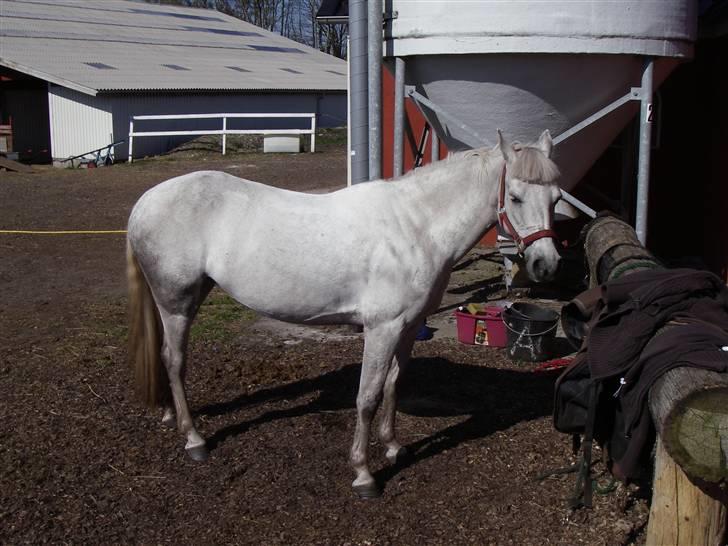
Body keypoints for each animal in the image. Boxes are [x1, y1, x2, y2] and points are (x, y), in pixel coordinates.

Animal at [125, 130, 560, 496]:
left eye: (556, 199)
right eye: (516, 197)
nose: (546, 265)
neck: (416, 228)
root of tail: (145, 203)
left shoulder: (408, 327)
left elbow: (393, 385)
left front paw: (393, 446)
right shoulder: (381, 328)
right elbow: (367, 396)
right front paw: (364, 474)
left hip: (188, 296)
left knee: (166, 358)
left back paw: (170, 416)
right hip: (176, 301)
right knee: (174, 360)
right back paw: (194, 438)